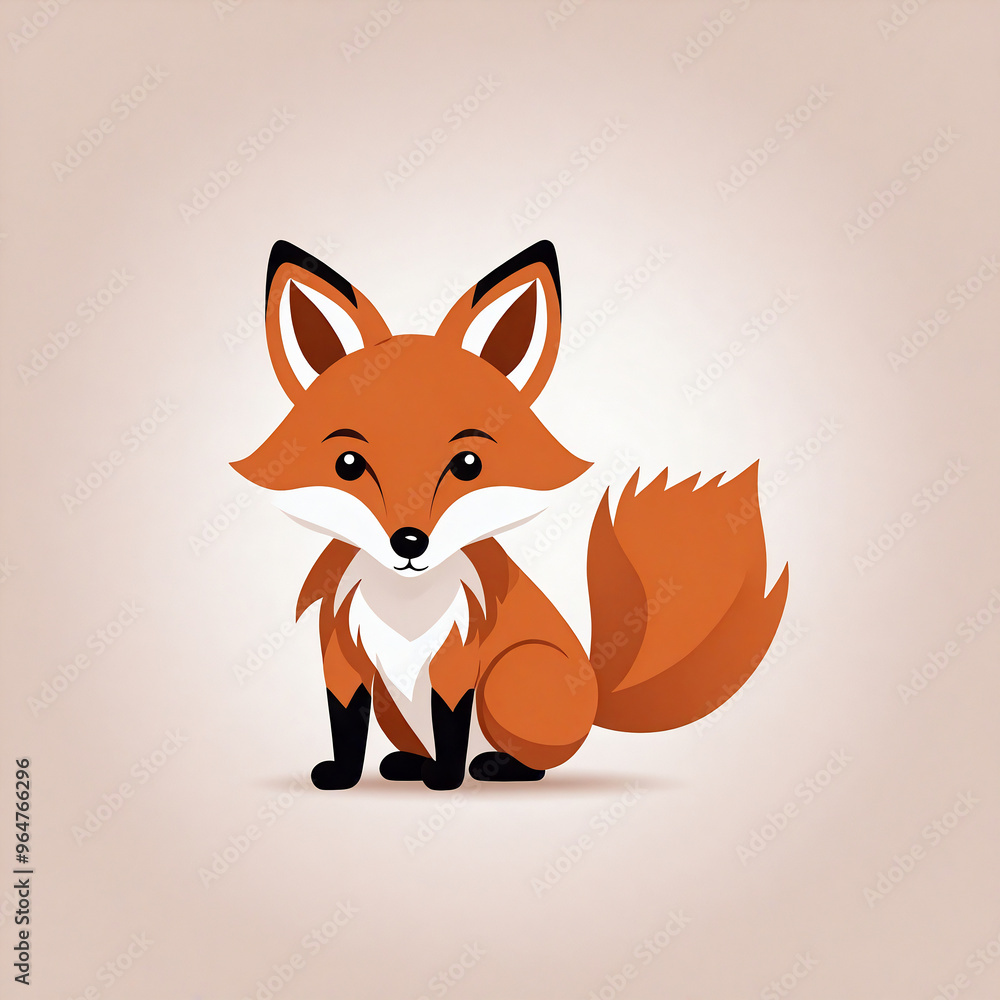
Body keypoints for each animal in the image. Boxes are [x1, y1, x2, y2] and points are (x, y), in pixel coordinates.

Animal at [232, 239, 789, 790]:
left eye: (468, 464)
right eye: (348, 464)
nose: (409, 542)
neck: (406, 603)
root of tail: (594, 696)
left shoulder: (459, 653)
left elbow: (450, 725)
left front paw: (446, 781)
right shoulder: (341, 652)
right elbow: (345, 724)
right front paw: (345, 778)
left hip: (510, 676)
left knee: (533, 761)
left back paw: (490, 767)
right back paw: (408, 765)